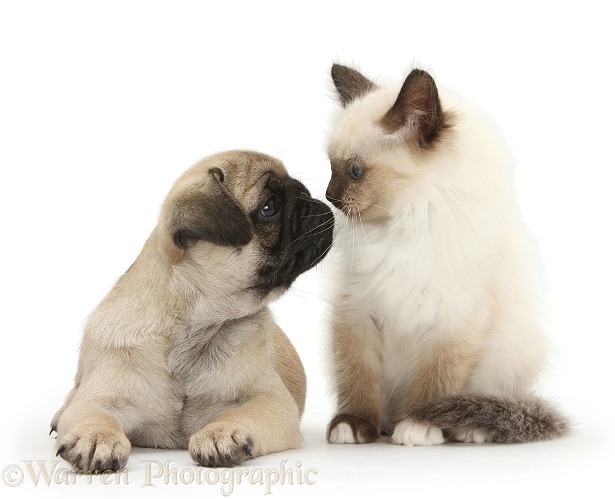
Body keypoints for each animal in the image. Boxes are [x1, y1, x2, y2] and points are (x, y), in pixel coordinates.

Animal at [50, 151, 334, 472]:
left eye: (300, 190)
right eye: (269, 208)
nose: (311, 199)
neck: (193, 326)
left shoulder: (270, 402)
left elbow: (238, 414)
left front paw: (222, 433)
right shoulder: (98, 399)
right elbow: (91, 413)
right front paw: (96, 437)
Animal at [324, 63, 572, 446]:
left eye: (355, 171)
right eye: (331, 166)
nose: (328, 196)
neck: (405, 223)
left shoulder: (453, 321)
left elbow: (435, 382)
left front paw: (417, 424)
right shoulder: (357, 311)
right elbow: (358, 377)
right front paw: (354, 424)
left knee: (485, 399)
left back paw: (470, 429)